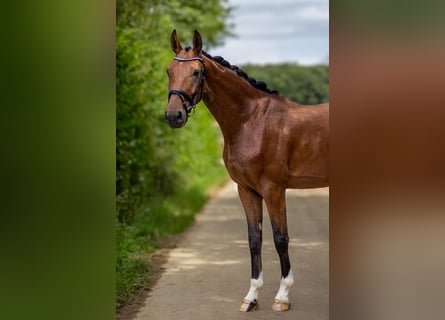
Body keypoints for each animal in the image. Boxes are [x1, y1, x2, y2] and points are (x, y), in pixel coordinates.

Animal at [165, 30, 328, 312]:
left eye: (196, 72)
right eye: (169, 71)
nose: (174, 115)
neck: (252, 120)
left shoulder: (274, 189)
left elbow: (280, 238)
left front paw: (282, 297)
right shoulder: (246, 190)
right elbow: (254, 239)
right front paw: (251, 297)